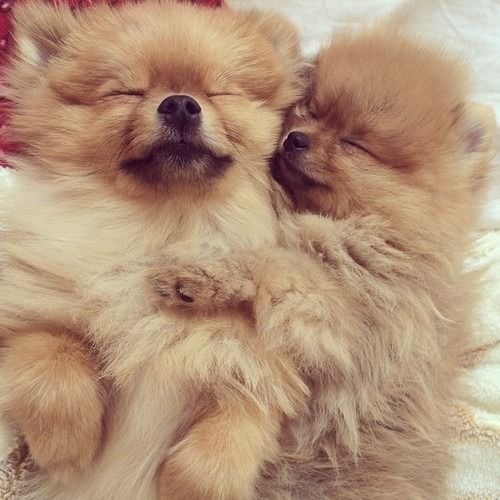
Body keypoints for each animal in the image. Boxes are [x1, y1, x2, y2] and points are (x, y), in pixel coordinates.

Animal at [0, 1, 306, 498]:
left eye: (221, 91)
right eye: (125, 91)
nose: (180, 102)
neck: (165, 229)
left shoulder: (260, 363)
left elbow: (236, 426)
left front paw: (191, 486)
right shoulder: (29, 311)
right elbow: (50, 355)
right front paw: (67, 448)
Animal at [152, 28, 496, 500]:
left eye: (355, 144)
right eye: (310, 111)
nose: (295, 138)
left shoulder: (351, 305)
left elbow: (277, 262)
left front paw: (204, 274)